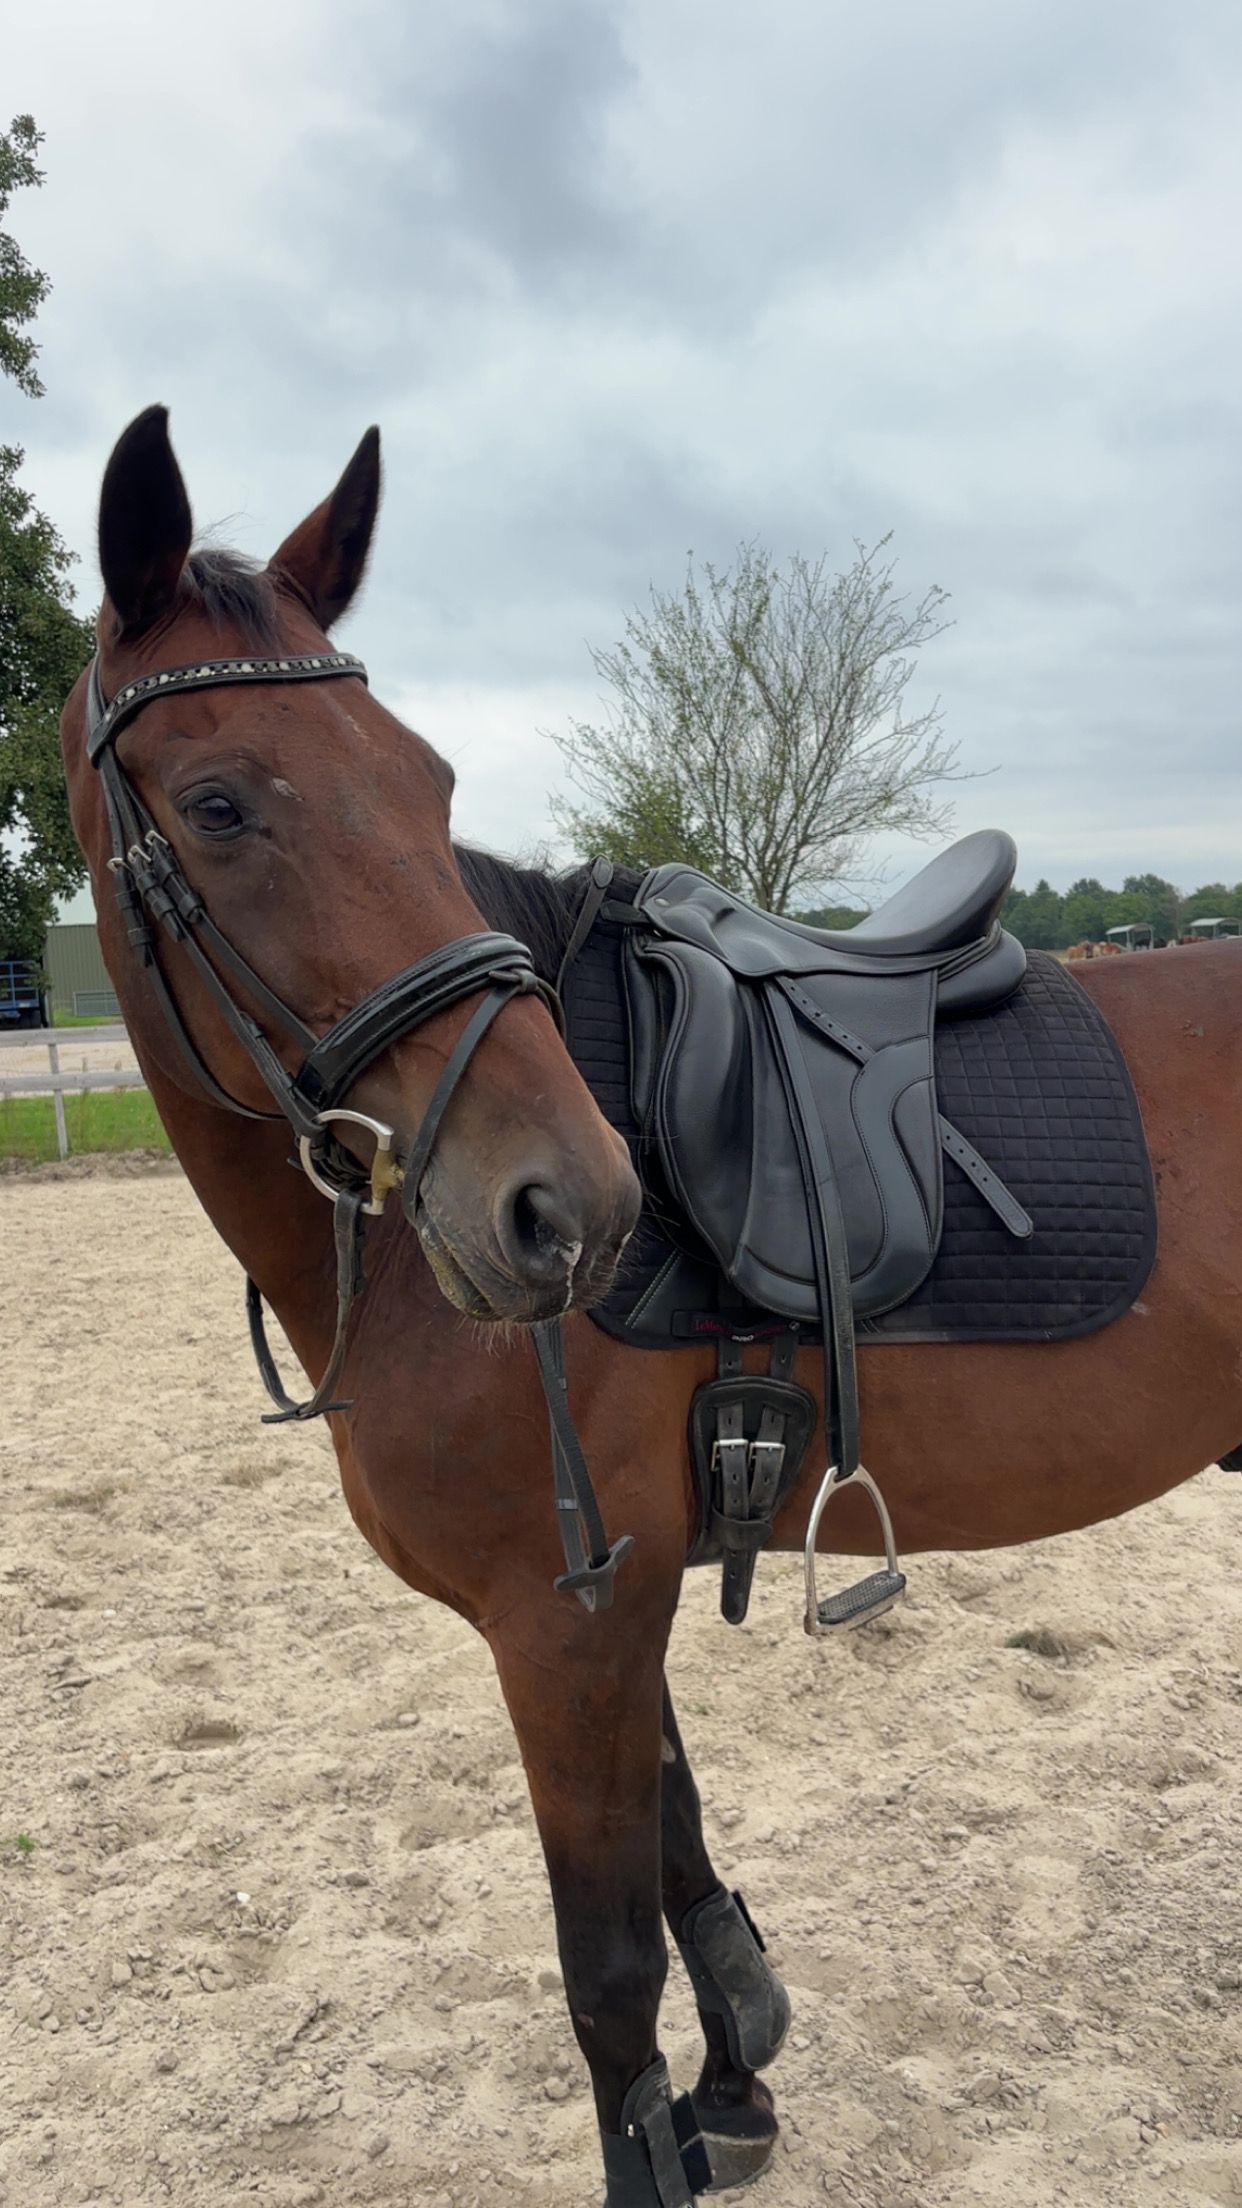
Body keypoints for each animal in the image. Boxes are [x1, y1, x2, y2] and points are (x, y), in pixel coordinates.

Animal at [61, 409, 1242, 2207]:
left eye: (429, 781)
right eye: (216, 802)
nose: (575, 1207)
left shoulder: (567, 1622)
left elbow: (601, 1966)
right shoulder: (610, 1599)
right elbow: (677, 1854)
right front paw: (733, 2082)